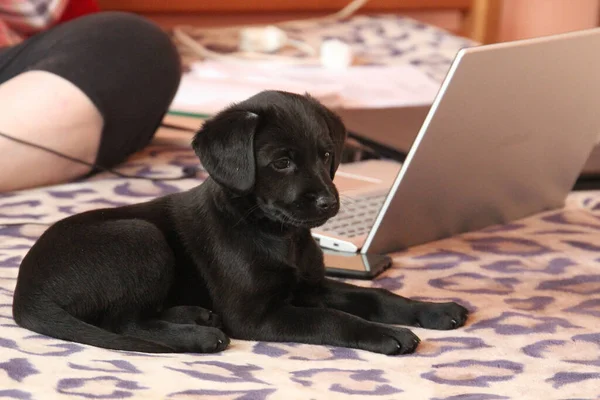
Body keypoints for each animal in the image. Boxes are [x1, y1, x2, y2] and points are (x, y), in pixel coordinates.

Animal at [10, 90, 468, 354]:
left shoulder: (312, 287)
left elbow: (379, 297)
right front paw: (385, 334)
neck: (276, 233)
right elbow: (332, 320)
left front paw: (433, 310)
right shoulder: (257, 315)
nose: (327, 202)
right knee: (123, 322)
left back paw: (194, 315)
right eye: (281, 162)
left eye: (325, 155)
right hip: (140, 236)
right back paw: (198, 335)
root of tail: (25, 290)